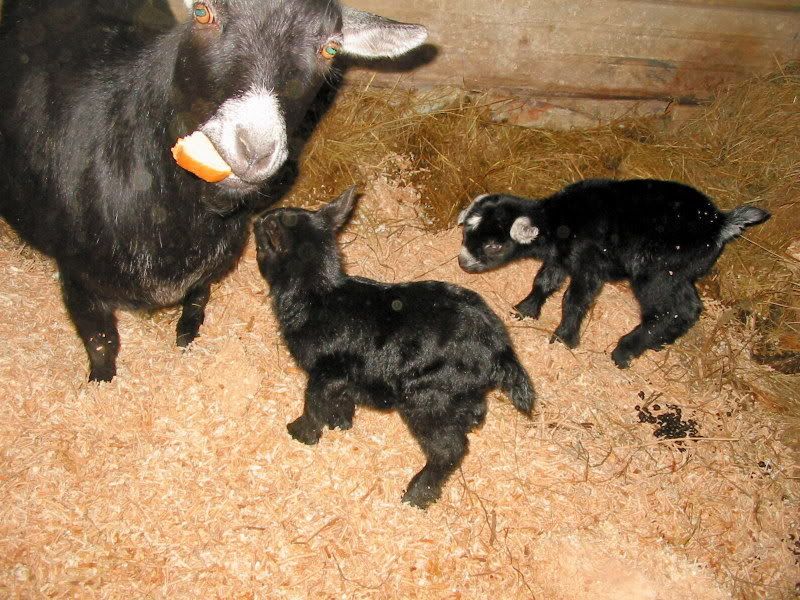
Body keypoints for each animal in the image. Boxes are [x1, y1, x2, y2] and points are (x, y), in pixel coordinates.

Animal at [0, 0, 427, 381]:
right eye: (202, 12)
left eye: (331, 48)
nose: (254, 148)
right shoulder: (76, 275)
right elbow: (102, 341)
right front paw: (102, 385)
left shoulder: (215, 260)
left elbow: (198, 298)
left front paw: (187, 338)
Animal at [254, 187, 534, 508]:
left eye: (261, 241)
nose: (255, 220)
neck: (317, 296)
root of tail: (499, 348)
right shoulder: (345, 375)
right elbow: (341, 399)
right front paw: (341, 423)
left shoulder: (326, 370)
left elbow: (313, 403)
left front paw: (302, 432)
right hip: (456, 391)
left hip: (428, 396)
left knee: (449, 449)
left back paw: (417, 494)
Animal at [457, 179, 770, 368]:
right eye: (466, 232)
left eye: (494, 245)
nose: (463, 263)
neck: (558, 220)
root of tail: (719, 224)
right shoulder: (561, 258)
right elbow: (544, 281)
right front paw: (526, 309)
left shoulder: (589, 264)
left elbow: (574, 300)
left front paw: (564, 337)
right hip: (678, 272)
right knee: (688, 309)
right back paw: (659, 342)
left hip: (659, 271)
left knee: (676, 309)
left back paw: (625, 350)